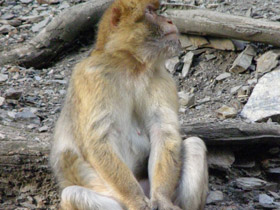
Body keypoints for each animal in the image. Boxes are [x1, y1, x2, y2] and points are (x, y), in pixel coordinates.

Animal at [49, 0, 208, 209]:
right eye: (150, 12)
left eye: (156, 10)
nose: (169, 20)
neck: (131, 64)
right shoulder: (92, 76)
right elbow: (99, 140)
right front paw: (136, 200)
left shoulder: (161, 78)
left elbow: (163, 132)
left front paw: (162, 199)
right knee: (73, 194)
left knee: (195, 144)